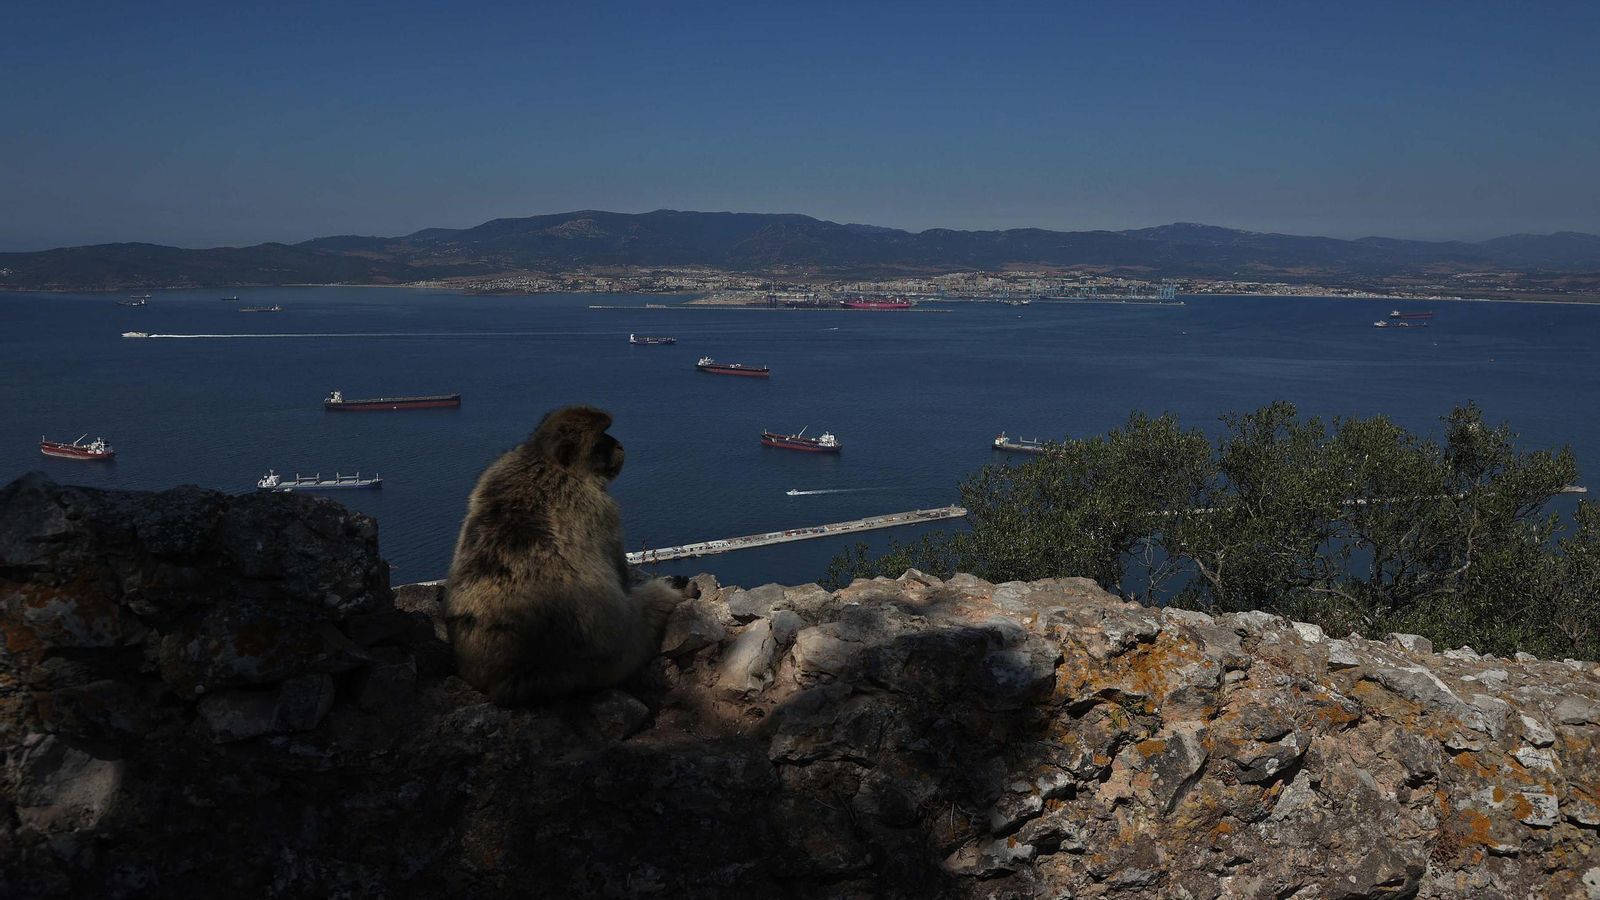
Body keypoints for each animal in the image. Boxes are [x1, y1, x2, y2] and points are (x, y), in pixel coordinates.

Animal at [442, 405, 691, 705]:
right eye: (601, 440)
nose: (619, 444)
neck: (548, 462)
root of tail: (507, 679)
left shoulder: (496, 470)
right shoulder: (602, 509)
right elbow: (621, 575)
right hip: (619, 652)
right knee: (652, 603)